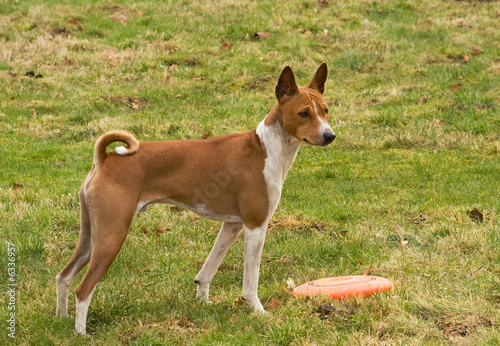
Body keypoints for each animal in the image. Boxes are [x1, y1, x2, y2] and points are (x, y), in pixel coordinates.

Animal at [55, 63, 336, 334]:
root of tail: (104, 159)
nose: (330, 135)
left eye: (325, 110)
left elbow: (208, 269)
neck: (265, 149)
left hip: (91, 236)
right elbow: (250, 283)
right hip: (112, 236)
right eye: (304, 114)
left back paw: (61, 319)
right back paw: (81, 333)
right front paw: (258, 311)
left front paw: (203, 303)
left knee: (64, 277)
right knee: (83, 288)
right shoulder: (255, 226)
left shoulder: (232, 224)